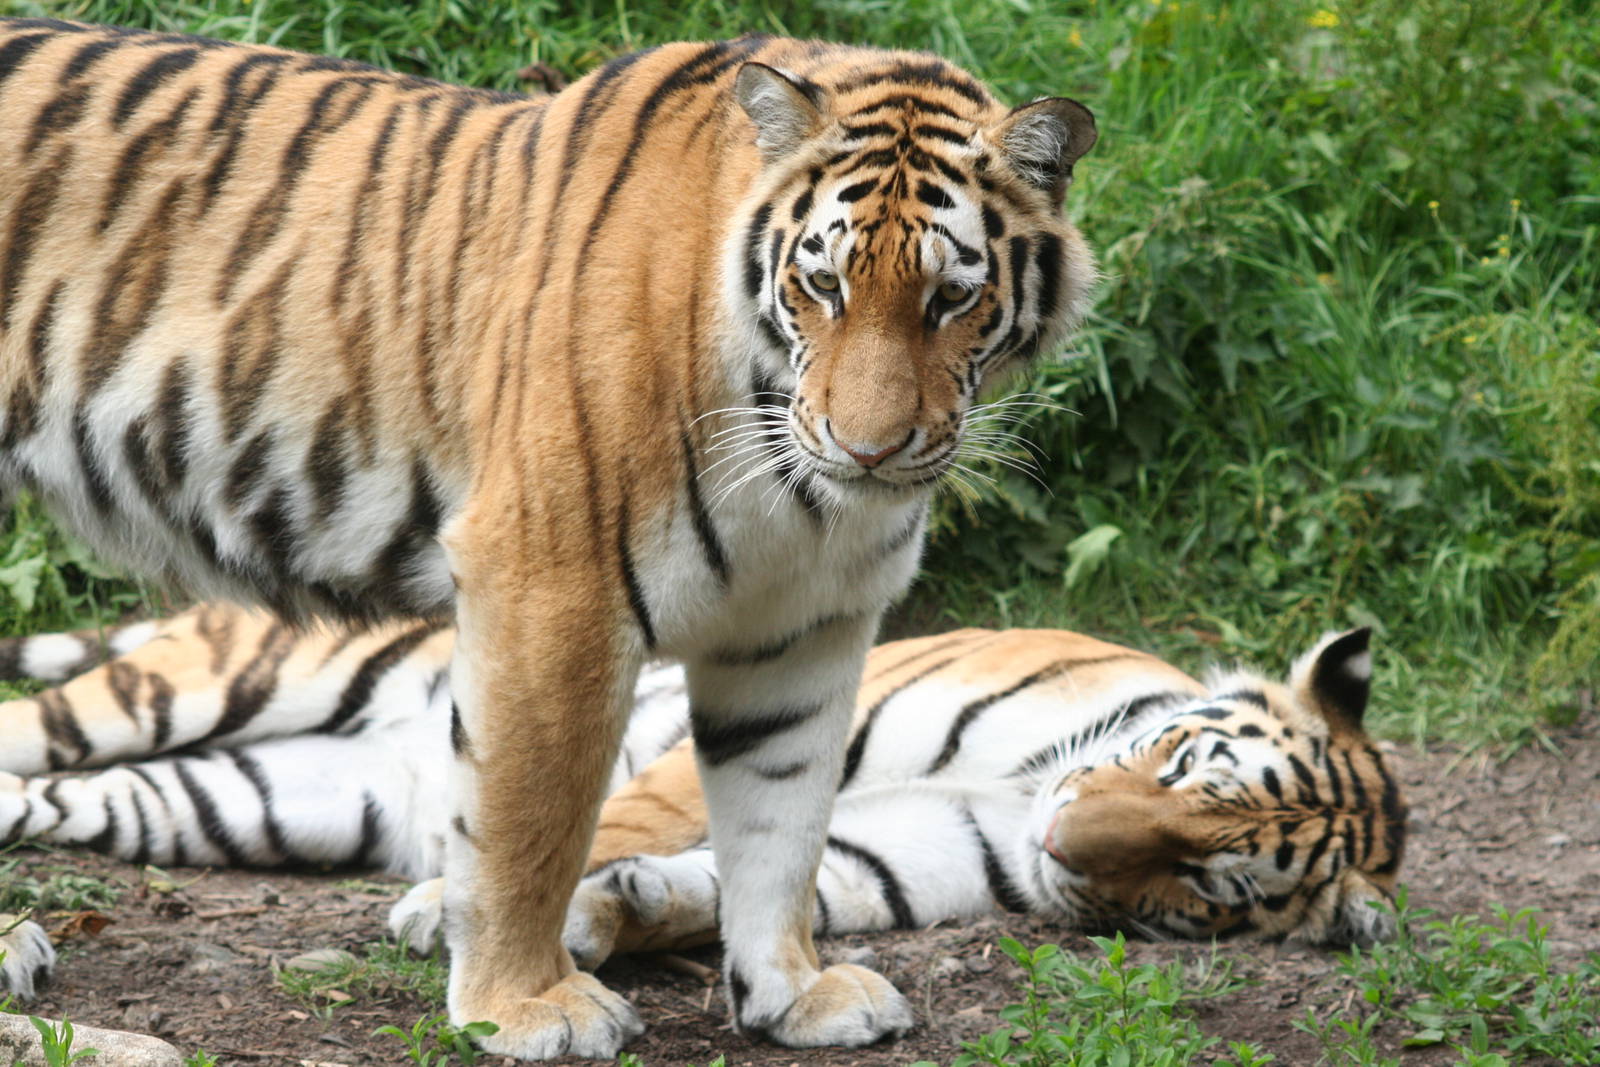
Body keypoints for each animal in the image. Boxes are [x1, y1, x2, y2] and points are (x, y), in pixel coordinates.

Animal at [0, 17, 1099, 1055]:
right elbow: (531, 819)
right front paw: (524, 1005)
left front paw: (791, 990)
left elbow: (783, 819)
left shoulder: (802, 626)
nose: (867, 448)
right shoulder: (550, 579)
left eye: (950, 296)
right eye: (823, 284)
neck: (797, 484)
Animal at [0, 604, 1407, 1006]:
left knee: (57, 797)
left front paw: (614, 917)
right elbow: (622, 812)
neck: (1013, 801)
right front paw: (460, 910)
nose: (1065, 837)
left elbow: (769, 888)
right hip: (204, 685)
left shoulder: (898, 850)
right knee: (29, 730)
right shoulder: (810, 715)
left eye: (1203, 881)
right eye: (1180, 768)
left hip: (249, 795)